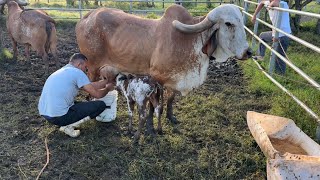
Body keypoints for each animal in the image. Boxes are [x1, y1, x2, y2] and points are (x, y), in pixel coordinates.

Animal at [75, 4, 252, 125]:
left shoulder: (174, 80)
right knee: (90, 85)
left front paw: (171, 117)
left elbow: (170, 99)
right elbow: (154, 104)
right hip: (92, 66)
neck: (191, 40)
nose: (248, 52)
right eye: (228, 23)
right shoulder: (157, 78)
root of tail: (88, 17)